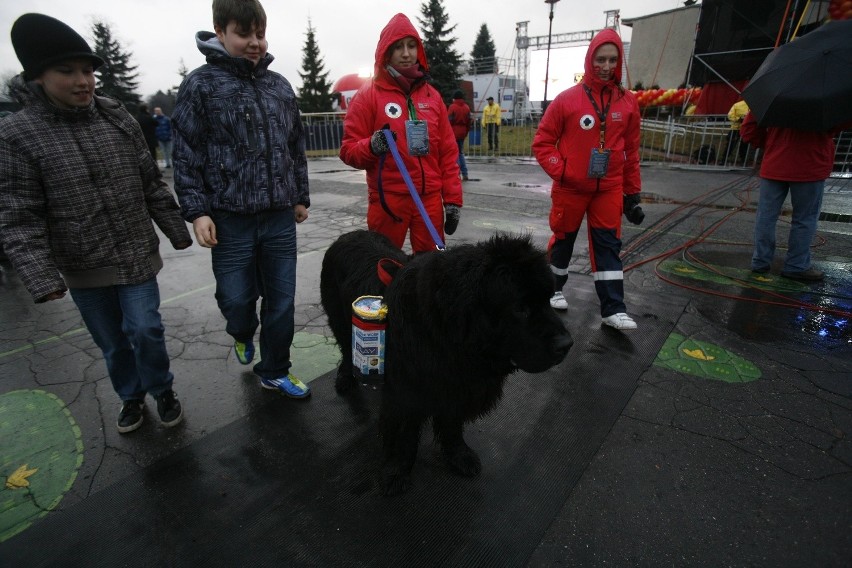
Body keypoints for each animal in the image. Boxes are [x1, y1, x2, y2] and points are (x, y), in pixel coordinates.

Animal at [320, 229, 572, 494]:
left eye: (547, 299)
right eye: (520, 308)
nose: (567, 344)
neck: (445, 332)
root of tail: (349, 234)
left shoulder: (455, 384)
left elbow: (452, 424)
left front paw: (459, 456)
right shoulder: (406, 391)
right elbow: (402, 433)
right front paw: (396, 471)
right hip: (340, 319)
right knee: (346, 348)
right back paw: (346, 377)